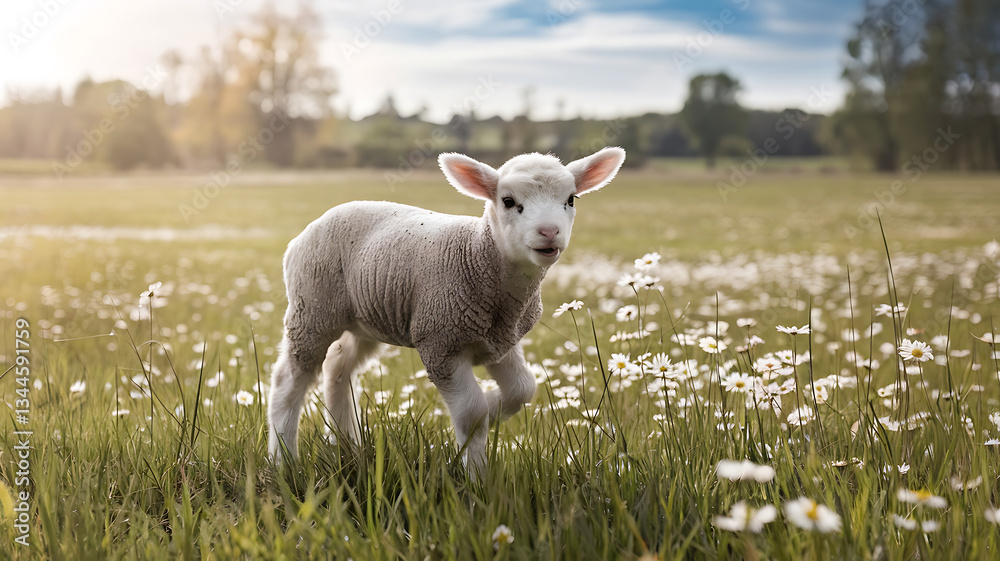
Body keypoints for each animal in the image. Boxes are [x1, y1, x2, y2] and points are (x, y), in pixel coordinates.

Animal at [267, 146, 626, 471]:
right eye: (508, 201)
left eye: (571, 199)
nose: (549, 232)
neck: (478, 255)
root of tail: (308, 230)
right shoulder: (441, 343)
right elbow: (471, 412)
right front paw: (476, 475)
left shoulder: (500, 340)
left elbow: (522, 390)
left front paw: (492, 409)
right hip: (312, 310)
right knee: (288, 380)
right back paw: (283, 460)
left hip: (364, 319)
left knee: (337, 368)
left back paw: (347, 445)